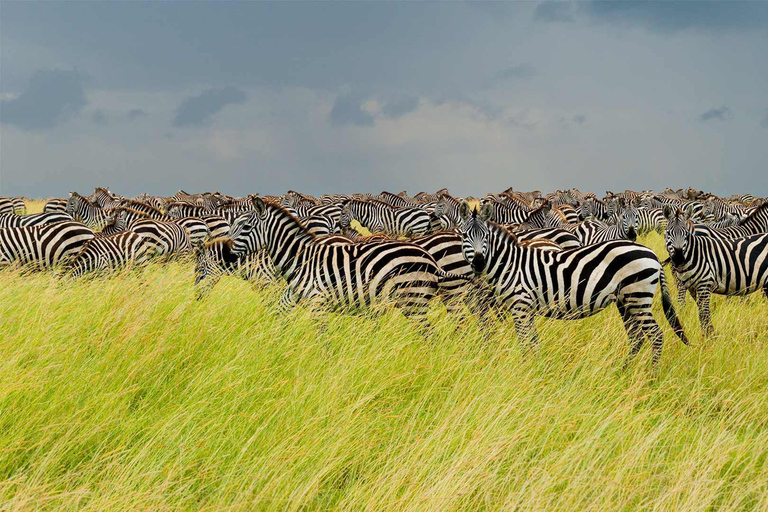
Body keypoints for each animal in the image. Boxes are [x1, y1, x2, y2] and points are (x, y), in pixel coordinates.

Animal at [228, 198, 464, 322]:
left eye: (246, 227)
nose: (227, 255)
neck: (301, 258)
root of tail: (431, 261)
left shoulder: (318, 303)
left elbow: (323, 341)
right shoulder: (294, 296)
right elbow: (280, 313)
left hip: (414, 300)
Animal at [460, 201, 688, 368]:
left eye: (486, 237)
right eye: (464, 236)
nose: (478, 262)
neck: (510, 264)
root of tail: (653, 255)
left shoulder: (520, 307)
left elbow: (525, 343)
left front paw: (526, 369)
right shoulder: (526, 309)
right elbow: (533, 341)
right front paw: (536, 367)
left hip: (638, 297)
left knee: (656, 336)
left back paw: (651, 376)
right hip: (625, 301)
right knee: (636, 336)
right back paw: (624, 371)